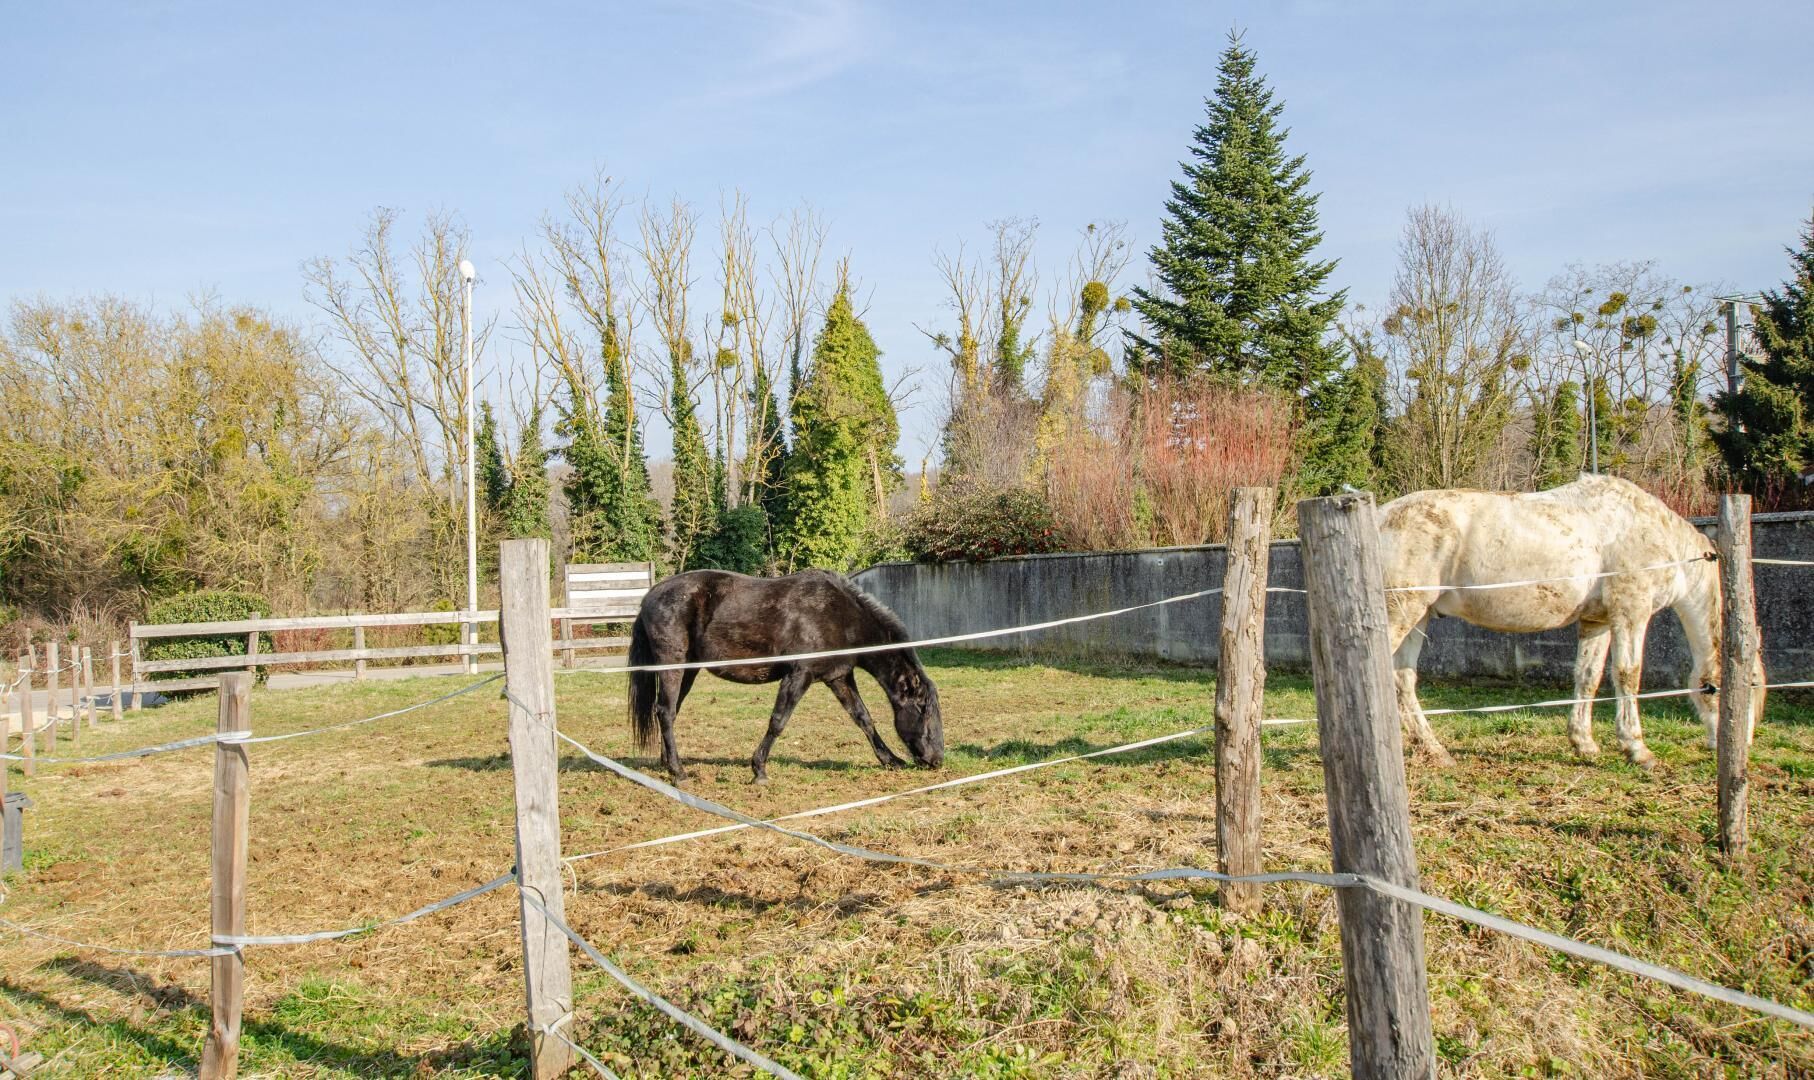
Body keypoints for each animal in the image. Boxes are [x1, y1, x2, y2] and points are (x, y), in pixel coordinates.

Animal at [626, 568, 943, 783]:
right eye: (924, 711)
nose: (937, 759)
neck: (838, 615)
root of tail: (649, 596)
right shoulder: (799, 675)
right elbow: (778, 721)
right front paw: (759, 770)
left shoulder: (838, 678)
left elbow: (863, 718)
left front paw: (891, 760)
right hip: (672, 665)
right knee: (665, 711)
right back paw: (678, 772)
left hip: (688, 671)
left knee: (668, 711)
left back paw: (669, 763)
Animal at [1379, 474, 1765, 770]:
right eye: (1752, 684)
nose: (1745, 746)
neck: (1654, 534)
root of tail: (1380, 517)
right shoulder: (1631, 612)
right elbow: (1628, 675)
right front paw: (1637, 749)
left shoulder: (1598, 621)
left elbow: (1588, 676)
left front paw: (1584, 743)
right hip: (1400, 612)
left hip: (1420, 615)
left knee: (1402, 680)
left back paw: (1435, 750)